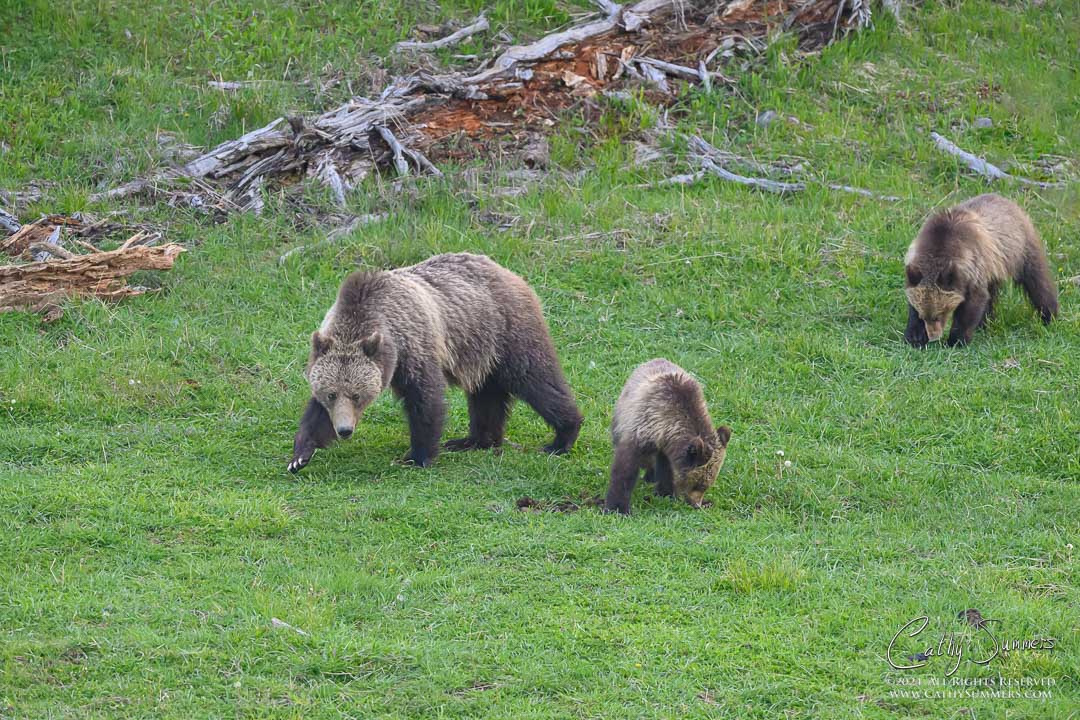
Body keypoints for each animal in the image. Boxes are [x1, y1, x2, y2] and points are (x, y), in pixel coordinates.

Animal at [288, 253, 583, 473]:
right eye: (331, 394)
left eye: (357, 395)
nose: (345, 430)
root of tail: (508, 271)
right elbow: (314, 413)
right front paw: (300, 455)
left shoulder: (413, 347)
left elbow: (425, 399)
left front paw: (417, 456)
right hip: (482, 351)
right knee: (486, 394)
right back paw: (474, 440)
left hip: (507, 331)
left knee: (536, 379)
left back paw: (562, 437)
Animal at [604, 358, 731, 515]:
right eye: (698, 484)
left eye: (707, 485)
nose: (697, 504)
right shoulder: (642, 428)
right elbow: (625, 467)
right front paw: (618, 507)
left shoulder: (667, 447)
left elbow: (666, 470)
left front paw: (666, 493)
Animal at [904, 193, 1058, 347]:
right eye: (923, 316)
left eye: (940, 313)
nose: (934, 336)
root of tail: (1008, 200)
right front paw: (915, 337)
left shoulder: (973, 269)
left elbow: (973, 304)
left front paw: (956, 340)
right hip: (994, 267)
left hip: (1020, 250)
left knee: (1038, 282)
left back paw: (1050, 316)